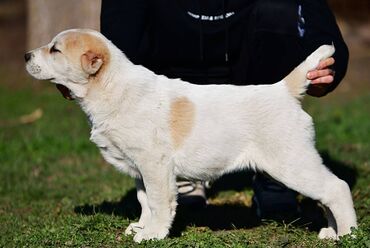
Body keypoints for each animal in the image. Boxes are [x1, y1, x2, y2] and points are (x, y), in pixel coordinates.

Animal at [24, 29, 356, 242]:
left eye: (55, 50)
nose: (26, 55)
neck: (112, 87)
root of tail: (283, 90)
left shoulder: (155, 165)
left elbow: (159, 202)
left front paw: (153, 234)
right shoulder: (139, 169)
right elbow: (145, 200)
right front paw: (141, 228)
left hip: (290, 163)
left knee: (337, 188)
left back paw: (349, 234)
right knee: (326, 194)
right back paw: (331, 232)